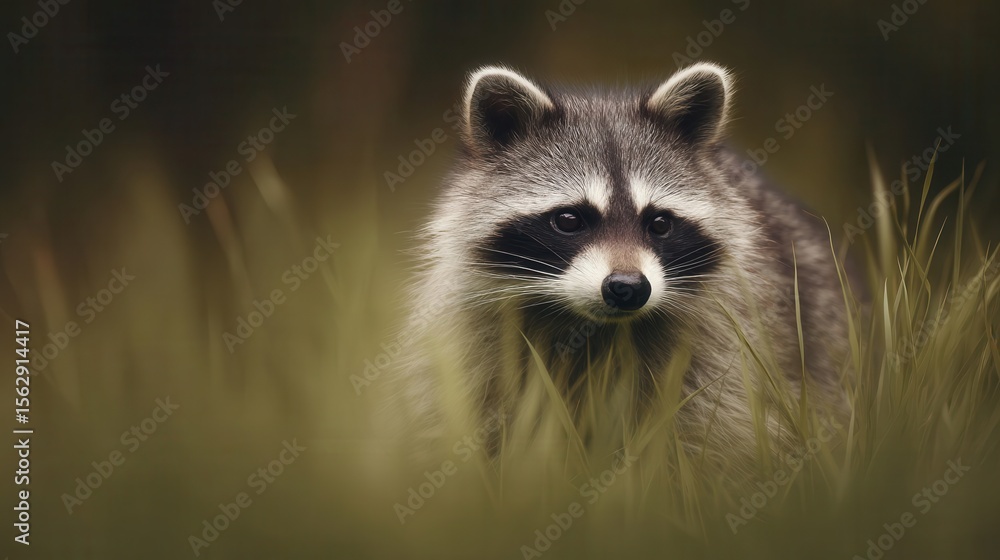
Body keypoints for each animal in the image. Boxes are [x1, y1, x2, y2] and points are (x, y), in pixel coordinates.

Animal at [390, 63, 849, 467]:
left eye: (659, 223)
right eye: (569, 219)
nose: (628, 287)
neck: (589, 327)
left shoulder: (725, 342)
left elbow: (714, 438)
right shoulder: (469, 334)